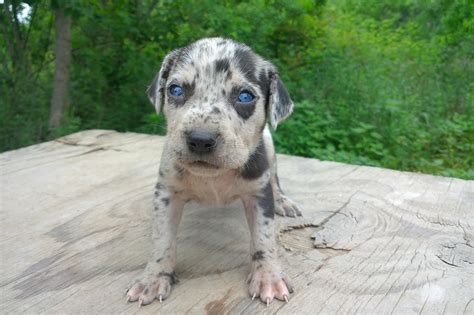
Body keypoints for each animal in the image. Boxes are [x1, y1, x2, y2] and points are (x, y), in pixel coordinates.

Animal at [126, 38, 302, 308]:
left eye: (244, 96)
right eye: (175, 90)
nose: (200, 139)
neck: (215, 178)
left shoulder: (259, 195)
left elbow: (264, 238)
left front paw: (268, 276)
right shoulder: (167, 193)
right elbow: (162, 239)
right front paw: (153, 278)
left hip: (270, 151)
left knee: (275, 179)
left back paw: (284, 201)